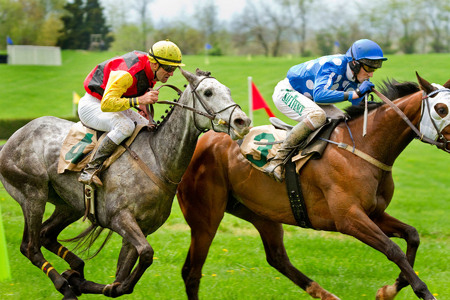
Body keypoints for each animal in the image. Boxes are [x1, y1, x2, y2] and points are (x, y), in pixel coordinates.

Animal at [0, 68, 253, 300]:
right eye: (208, 92)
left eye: (228, 90)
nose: (243, 121)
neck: (157, 159)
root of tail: (13, 137)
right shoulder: (120, 218)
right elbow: (146, 254)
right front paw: (79, 283)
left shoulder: (141, 228)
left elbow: (122, 279)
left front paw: (88, 283)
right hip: (33, 194)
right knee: (30, 247)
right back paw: (65, 285)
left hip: (69, 205)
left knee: (46, 235)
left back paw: (75, 272)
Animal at [178, 73, 450, 300]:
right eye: (441, 108)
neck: (362, 147)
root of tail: (199, 142)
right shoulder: (349, 218)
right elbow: (393, 249)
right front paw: (422, 292)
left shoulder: (374, 213)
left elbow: (412, 236)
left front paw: (390, 290)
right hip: (206, 218)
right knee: (191, 271)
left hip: (259, 211)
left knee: (277, 258)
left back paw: (325, 294)